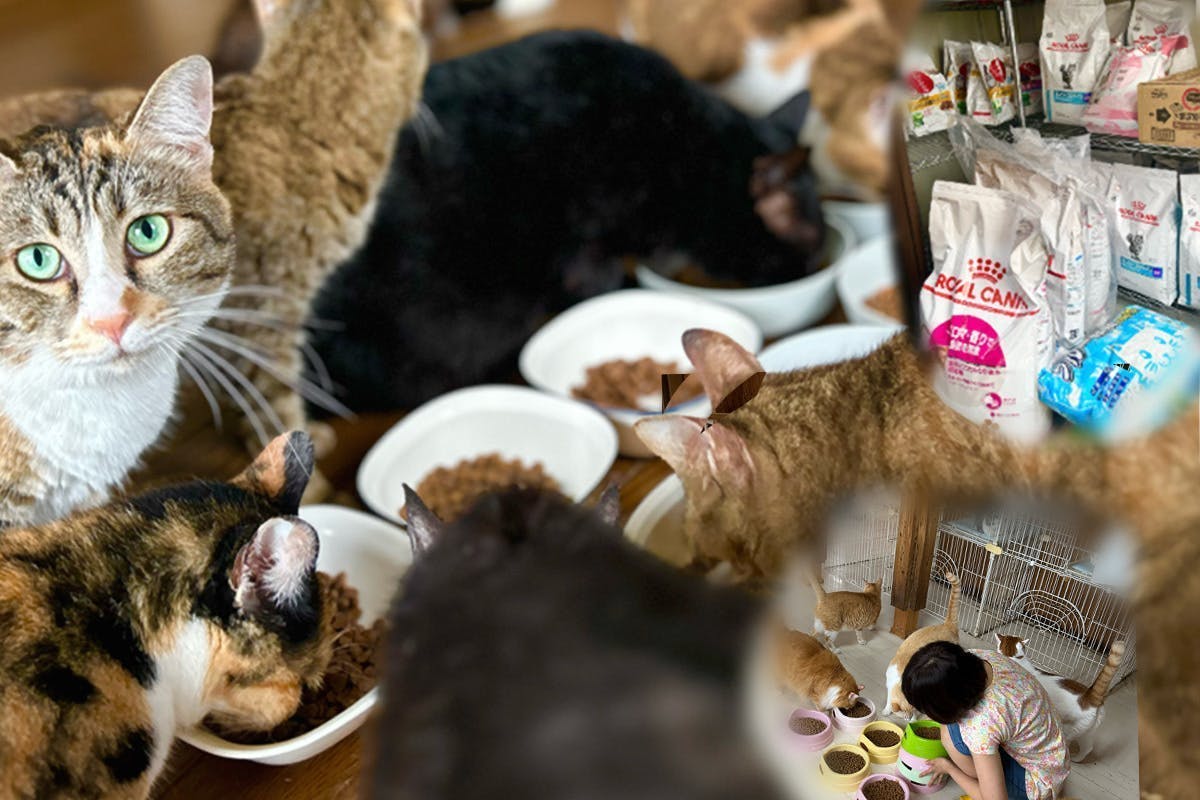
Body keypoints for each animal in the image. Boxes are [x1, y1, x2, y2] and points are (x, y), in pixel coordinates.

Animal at [0, 0, 429, 507]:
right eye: (39, 260)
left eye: (147, 232)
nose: (110, 322)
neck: (293, 121)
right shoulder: (258, 323)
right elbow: (274, 403)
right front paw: (308, 480)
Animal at [884, 571, 960, 720]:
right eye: (905, 716)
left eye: (915, 713)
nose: (910, 720)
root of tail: (947, 625)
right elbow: (889, 700)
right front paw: (886, 710)